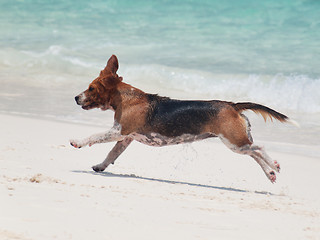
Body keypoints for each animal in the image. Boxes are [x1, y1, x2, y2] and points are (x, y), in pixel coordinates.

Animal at [70, 54, 296, 183]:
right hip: (238, 142)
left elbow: (94, 136)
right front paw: (100, 166)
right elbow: (111, 154)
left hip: (233, 141)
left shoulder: (119, 132)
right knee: (254, 153)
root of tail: (232, 105)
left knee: (259, 149)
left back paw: (274, 166)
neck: (126, 98)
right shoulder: (125, 138)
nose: (75, 97)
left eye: (91, 88)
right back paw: (270, 173)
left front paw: (78, 141)